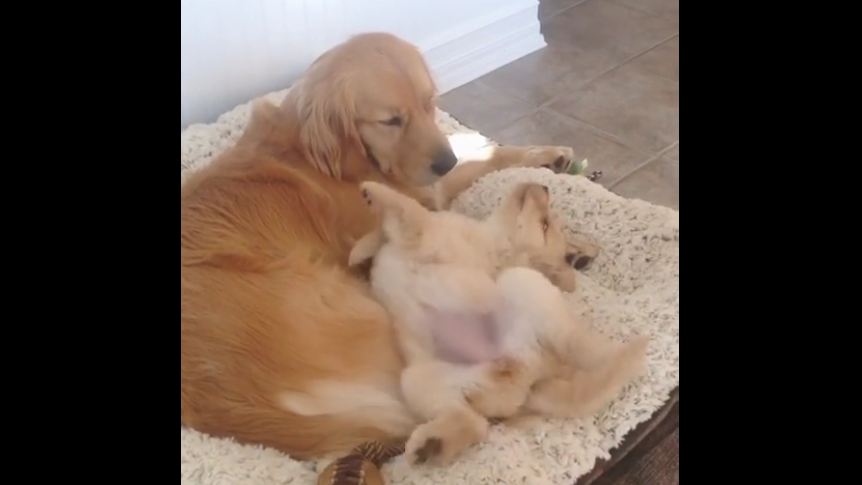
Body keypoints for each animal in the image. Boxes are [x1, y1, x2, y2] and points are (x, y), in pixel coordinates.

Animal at [352, 182, 648, 466]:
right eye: (546, 223)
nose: (545, 188)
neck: (498, 244)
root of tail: (531, 378)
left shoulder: (425, 229)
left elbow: (404, 205)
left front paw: (372, 192)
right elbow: (379, 234)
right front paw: (359, 252)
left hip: (522, 284)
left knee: (577, 344)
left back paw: (627, 353)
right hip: (420, 381)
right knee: (474, 423)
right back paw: (433, 445)